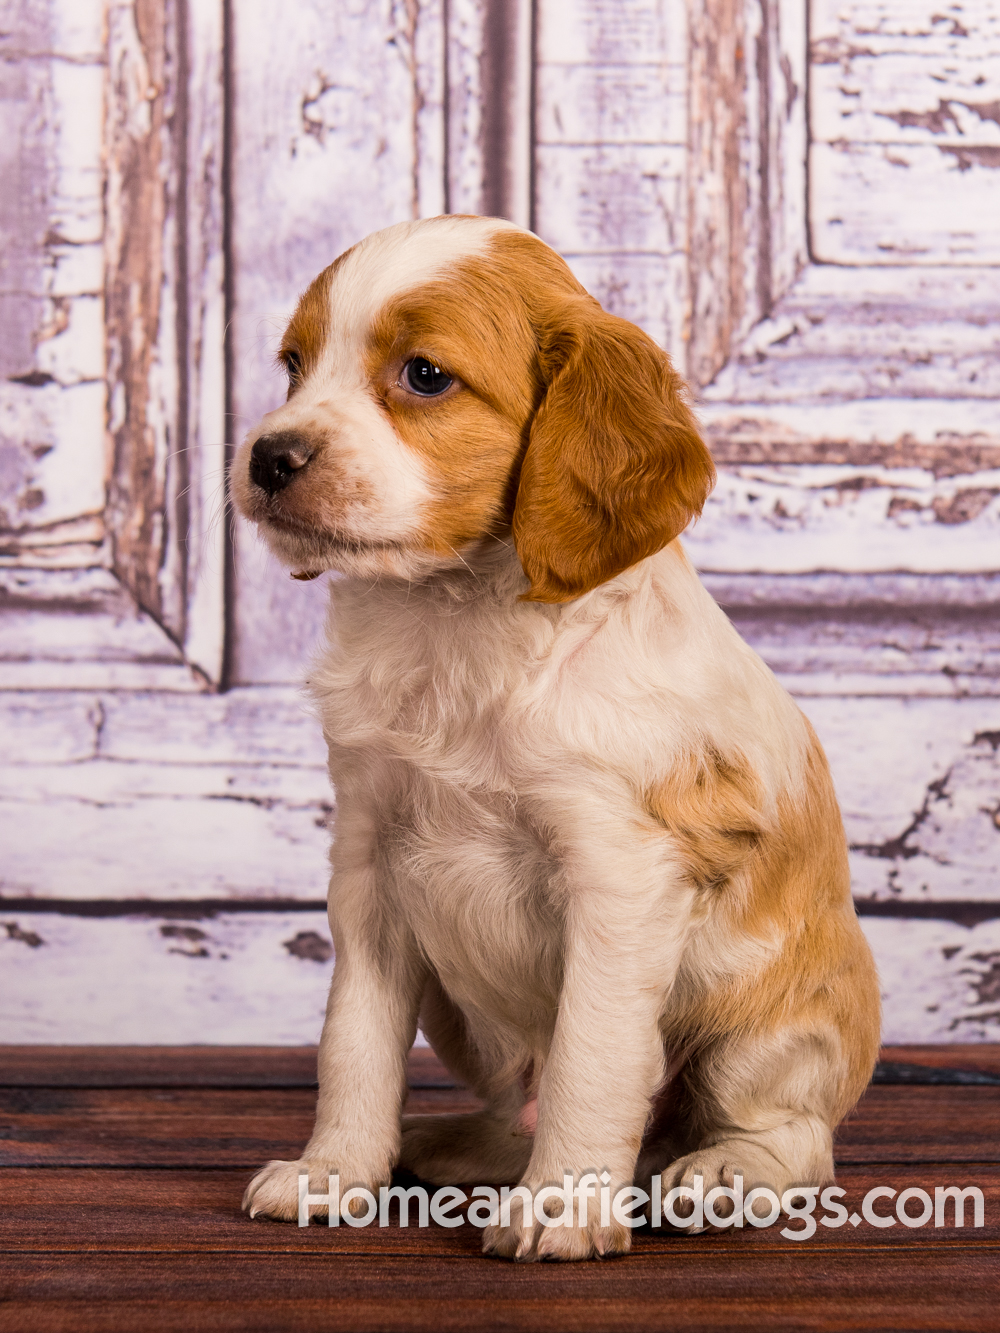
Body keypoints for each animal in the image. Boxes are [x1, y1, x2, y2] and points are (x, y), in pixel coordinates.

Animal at [238, 215, 880, 1258]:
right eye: (293, 366)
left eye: (424, 375)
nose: (267, 455)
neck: (456, 618)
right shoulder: (370, 866)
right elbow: (354, 1039)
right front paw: (333, 1171)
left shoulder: (618, 876)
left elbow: (592, 1051)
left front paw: (562, 1209)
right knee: (519, 1107)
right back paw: (457, 1146)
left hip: (769, 1027)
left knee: (791, 1136)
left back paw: (716, 1175)